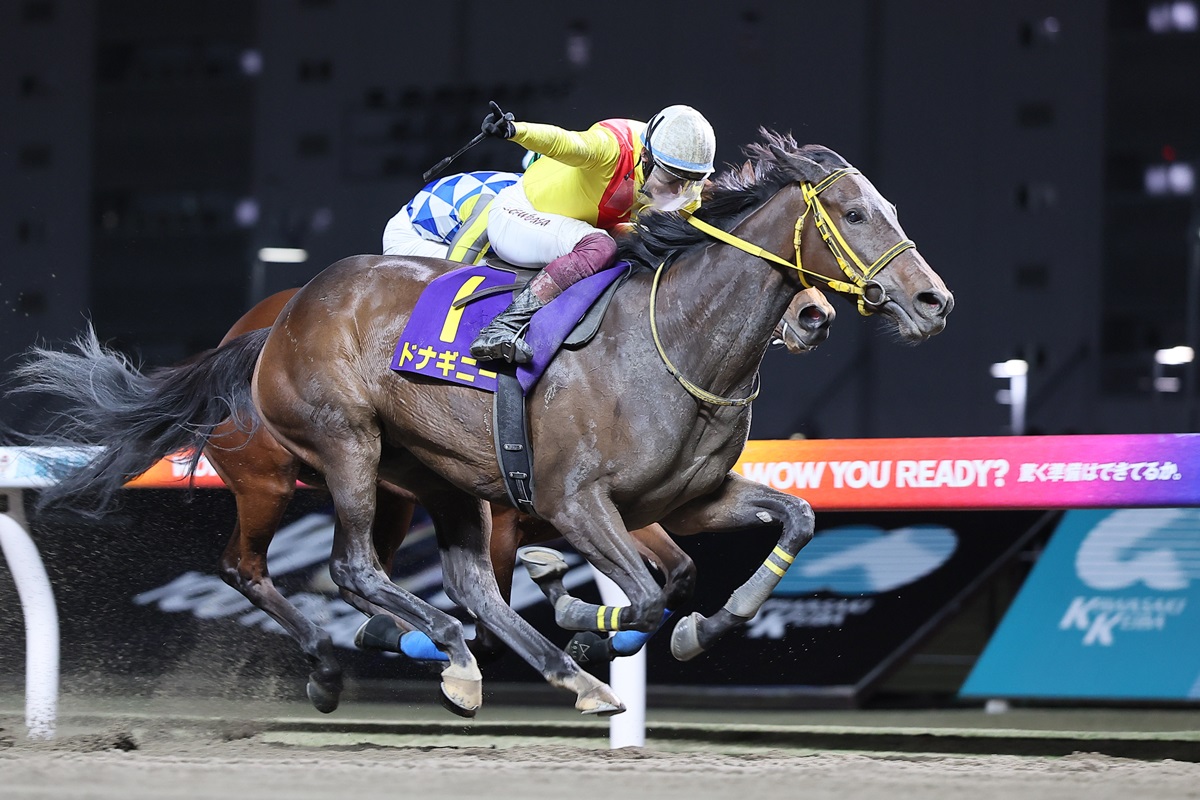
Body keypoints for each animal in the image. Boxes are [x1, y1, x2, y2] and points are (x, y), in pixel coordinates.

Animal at [203, 283, 835, 711]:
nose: (814, 315)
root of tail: (259, 333)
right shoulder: (541, 509)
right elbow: (496, 621)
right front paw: (570, 620)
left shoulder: (621, 505)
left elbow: (677, 574)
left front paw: (595, 635)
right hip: (279, 477)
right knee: (258, 566)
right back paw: (342, 658)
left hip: (390, 496)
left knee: (353, 573)